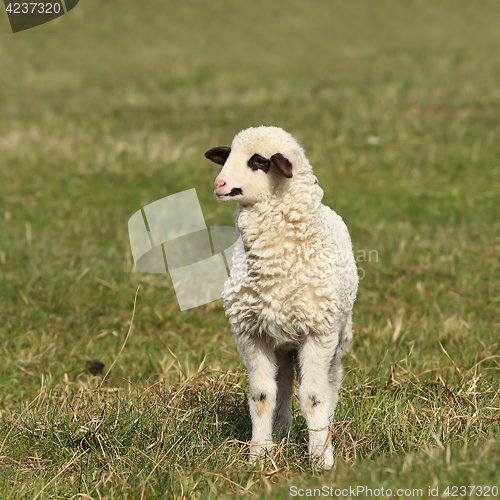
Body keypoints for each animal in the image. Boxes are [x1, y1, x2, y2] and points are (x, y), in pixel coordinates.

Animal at [204, 125, 360, 468]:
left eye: (259, 161)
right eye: (228, 155)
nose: (219, 184)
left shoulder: (318, 332)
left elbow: (314, 398)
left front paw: (321, 458)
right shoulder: (251, 333)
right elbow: (263, 396)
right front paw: (260, 455)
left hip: (338, 334)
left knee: (331, 383)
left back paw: (326, 428)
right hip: (283, 342)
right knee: (286, 382)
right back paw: (283, 429)